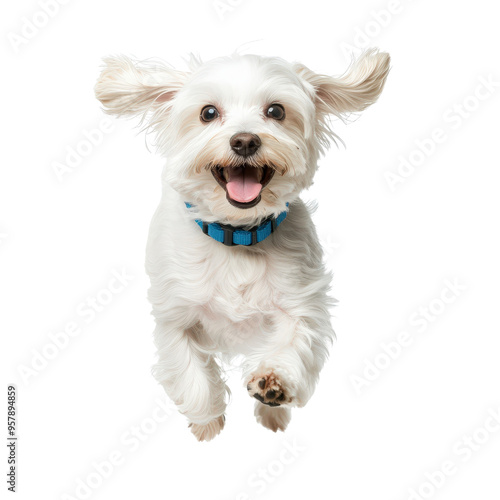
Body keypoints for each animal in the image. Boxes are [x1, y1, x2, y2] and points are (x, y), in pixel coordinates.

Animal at [94, 49, 390, 442]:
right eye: (208, 113)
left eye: (276, 111)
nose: (245, 141)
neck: (237, 237)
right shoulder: (175, 313)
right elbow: (192, 376)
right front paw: (206, 422)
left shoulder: (301, 302)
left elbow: (293, 341)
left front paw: (273, 385)